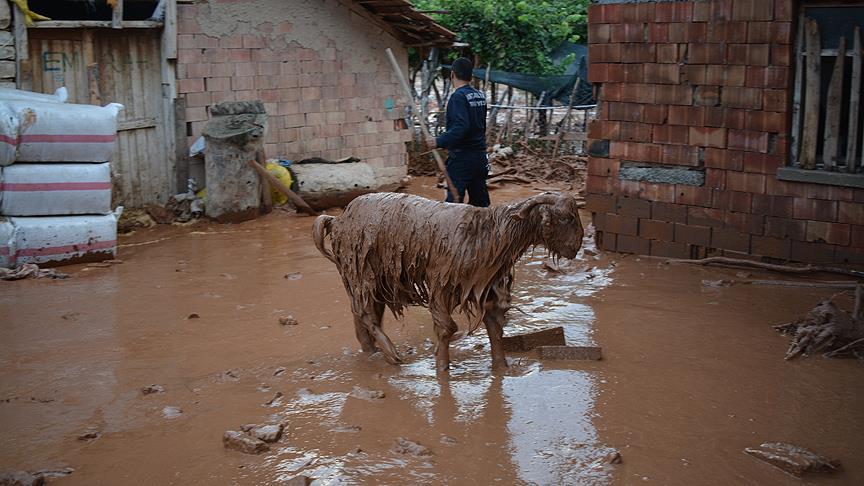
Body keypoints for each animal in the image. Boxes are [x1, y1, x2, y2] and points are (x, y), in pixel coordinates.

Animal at [314, 192, 584, 370]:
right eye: (568, 218)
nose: (577, 246)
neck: (490, 233)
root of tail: (336, 220)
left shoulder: (486, 287)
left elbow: (495, 326)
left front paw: (501, 367)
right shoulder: (440, 283)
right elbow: (447, 328)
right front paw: (441, 367)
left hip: (373, 277)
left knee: (365, 312)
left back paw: (370, 351)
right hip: (360, 271)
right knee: (364, 312)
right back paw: (391, 354)